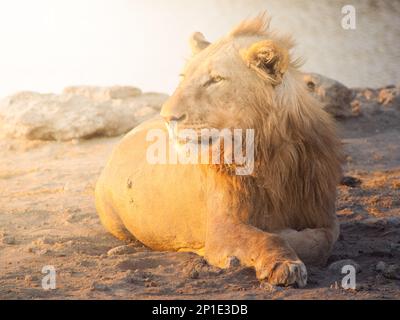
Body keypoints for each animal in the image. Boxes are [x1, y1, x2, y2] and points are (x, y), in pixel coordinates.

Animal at [95, 14, 342, 288]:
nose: (167, 116)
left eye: (216, 80)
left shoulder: (324, 213)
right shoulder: (221, 228)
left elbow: (322, 240)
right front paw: (284, 262)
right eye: (183, 77)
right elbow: (267, 238)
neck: (272, 154)